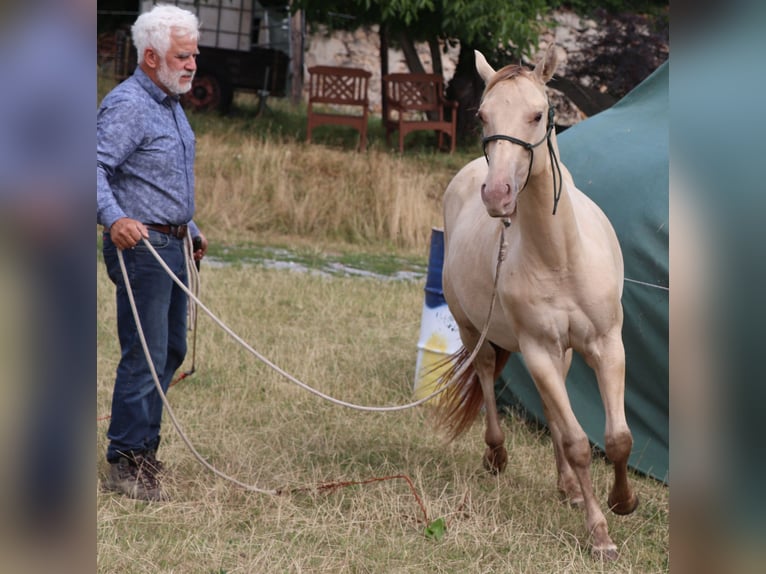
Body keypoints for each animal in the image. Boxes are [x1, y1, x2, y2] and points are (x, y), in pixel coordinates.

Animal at [435, 45, 639, 560]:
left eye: (538, 114)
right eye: (483, 115)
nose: (497, 193)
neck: (560, 257)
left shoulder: (607, 345)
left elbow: (617, 438)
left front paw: (623, 500)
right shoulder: (538, 351)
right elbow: (579, 443)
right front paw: (600, 534)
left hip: (563, 353)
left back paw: (567, 487)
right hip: (475, 330)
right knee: (487, 375)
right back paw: (496, 453)